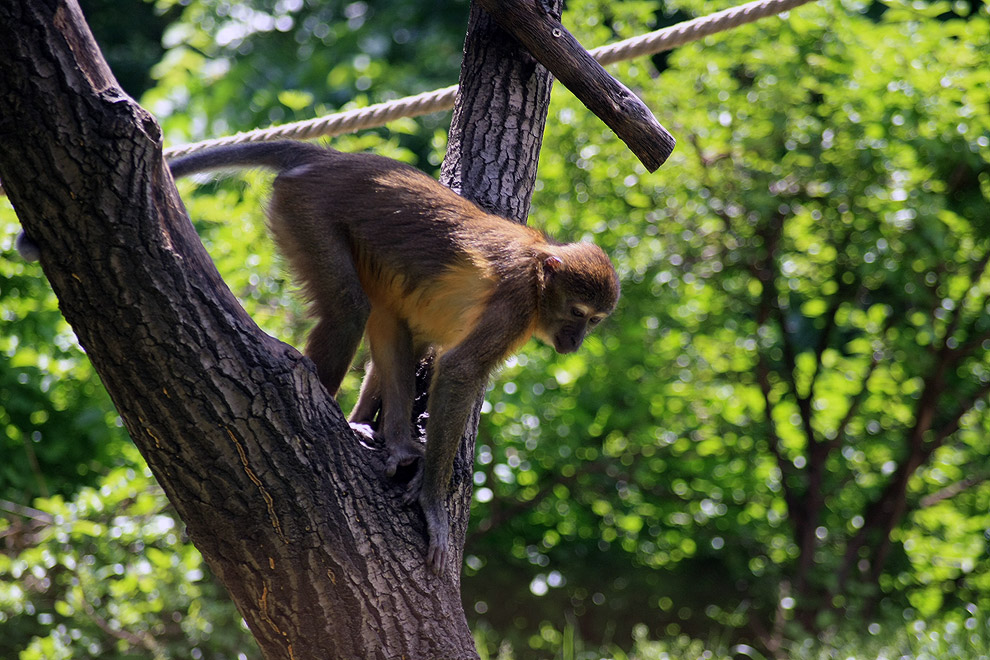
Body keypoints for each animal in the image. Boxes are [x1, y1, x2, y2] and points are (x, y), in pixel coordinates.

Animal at [170, 141, 620, 572]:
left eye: (594, 321)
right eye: (577, 314)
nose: (575, 341)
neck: (538, 273)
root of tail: (334, 160)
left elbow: (417, 343)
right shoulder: (516, 303)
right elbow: (459, 371)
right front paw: (432, 500)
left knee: (387, 317)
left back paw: (388, 438)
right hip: (304, 209)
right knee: (350, 310)